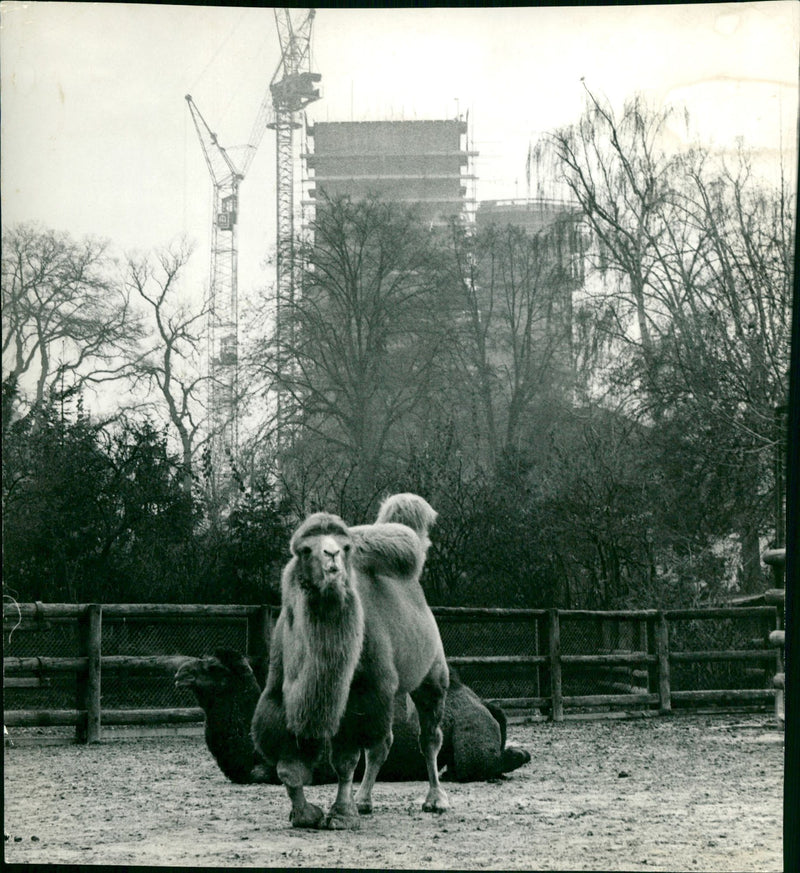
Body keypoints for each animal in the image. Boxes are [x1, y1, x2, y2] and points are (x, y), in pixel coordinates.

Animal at [178, 648, 536, 784]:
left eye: (214, 667)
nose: (181, 673)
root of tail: (483, 704)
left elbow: (263, 774)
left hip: (469, 735)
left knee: (475, 766)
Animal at [252, 508, 450, 828]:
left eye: (345, 548)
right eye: (305, 550)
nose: (331, 555)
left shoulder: (359, 695)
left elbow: (345, 761)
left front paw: (341, 814)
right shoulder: (282, 698)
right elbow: (288, 766)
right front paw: (305, 813)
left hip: (431, 675)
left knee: (429, 737)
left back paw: (436, 800)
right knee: (382, 744)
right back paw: (364, 800)